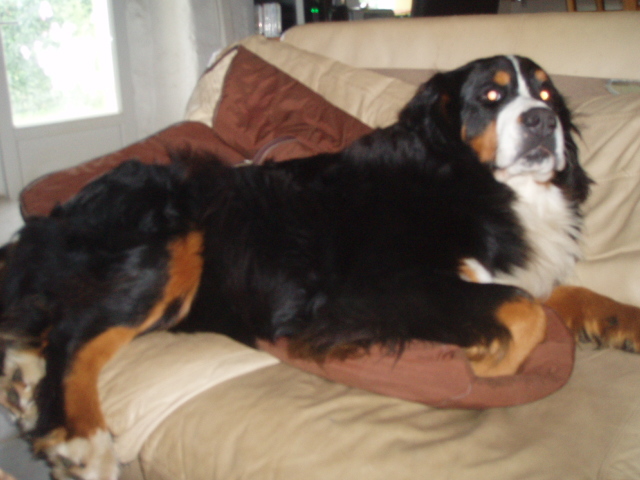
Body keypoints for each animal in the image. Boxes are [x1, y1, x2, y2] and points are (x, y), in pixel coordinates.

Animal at [1, 55, 639, 480]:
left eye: (549, 97)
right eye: (491, 97)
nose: (542, 124)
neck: (471, 180)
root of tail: (64, 209)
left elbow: (560, 293)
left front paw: (620, 320)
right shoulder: (371, 289)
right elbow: (523, 310)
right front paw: (489, 362)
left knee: (53, 322)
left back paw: (21, 381)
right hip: (175, 244)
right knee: (76, 338)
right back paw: (80, 437)